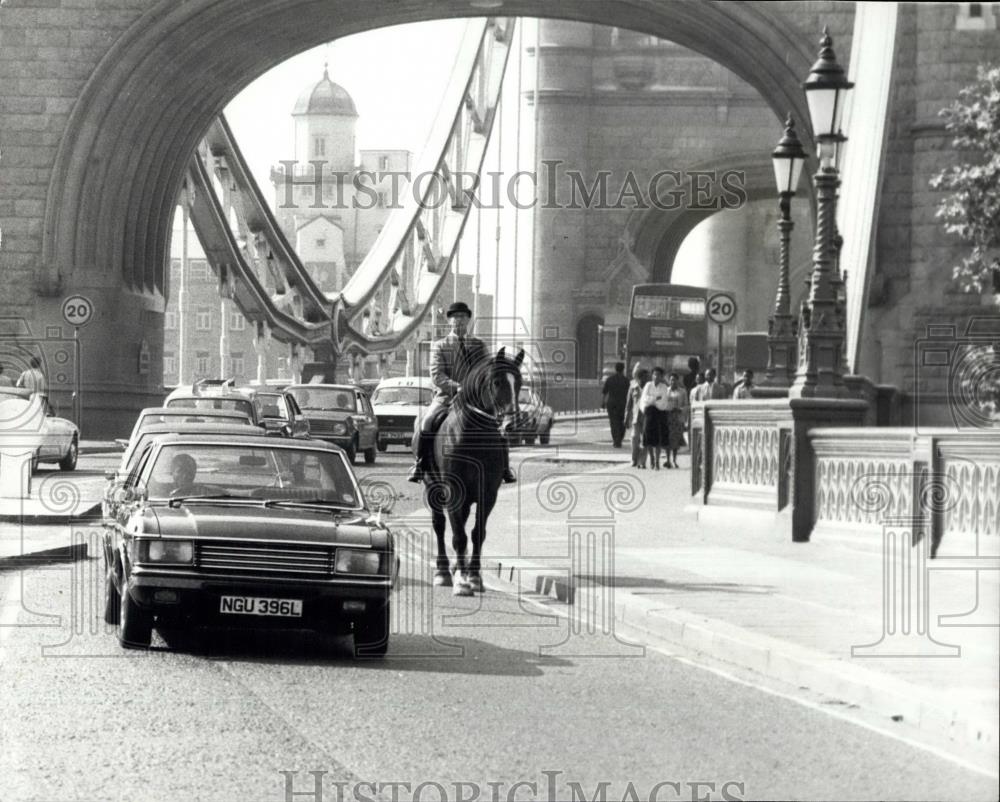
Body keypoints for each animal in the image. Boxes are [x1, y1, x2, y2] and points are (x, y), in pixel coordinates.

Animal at [412, 346, 524, 592]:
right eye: (496, 382)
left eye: (519, 382)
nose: (512, 425)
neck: (475, 439)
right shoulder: (453, 489)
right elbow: (458, 536)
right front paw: (463, 581)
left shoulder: (488, 493)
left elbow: (476, 533)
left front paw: (474, 576)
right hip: (433, 487)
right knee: (441, 526)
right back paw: (444, 571)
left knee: (460, 523)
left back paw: (456, 566)